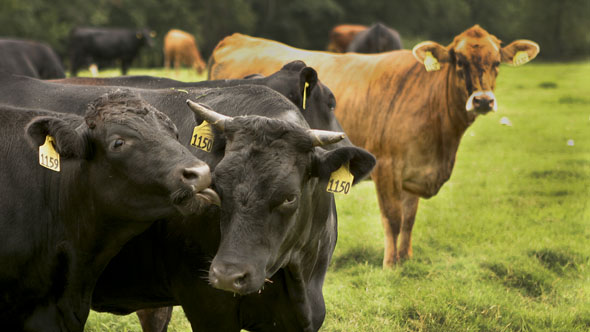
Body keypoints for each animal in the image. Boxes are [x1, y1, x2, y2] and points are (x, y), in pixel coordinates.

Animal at [208, 24, 540, 268]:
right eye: (458, 61)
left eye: (497, 63)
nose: (483, 100)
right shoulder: (388, 168)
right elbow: (393, 219)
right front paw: (390, 265)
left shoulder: (413, 172)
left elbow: (409, 219)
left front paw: (406, 259)